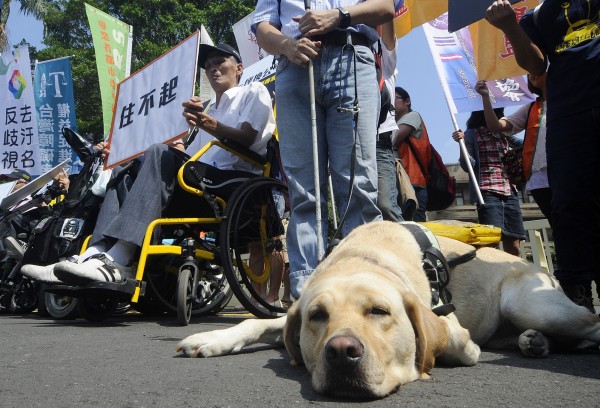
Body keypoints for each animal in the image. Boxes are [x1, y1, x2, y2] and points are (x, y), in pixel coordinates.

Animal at [176, 222, 596, 396]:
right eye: (317, 317)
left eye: (380, 312)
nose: (342, 352)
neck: (363, 255)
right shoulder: (291, 317)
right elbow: (253, 322)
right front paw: (209, 339)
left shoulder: (458, 335)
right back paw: (534, 343)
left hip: (530, 304)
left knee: (591, 326)